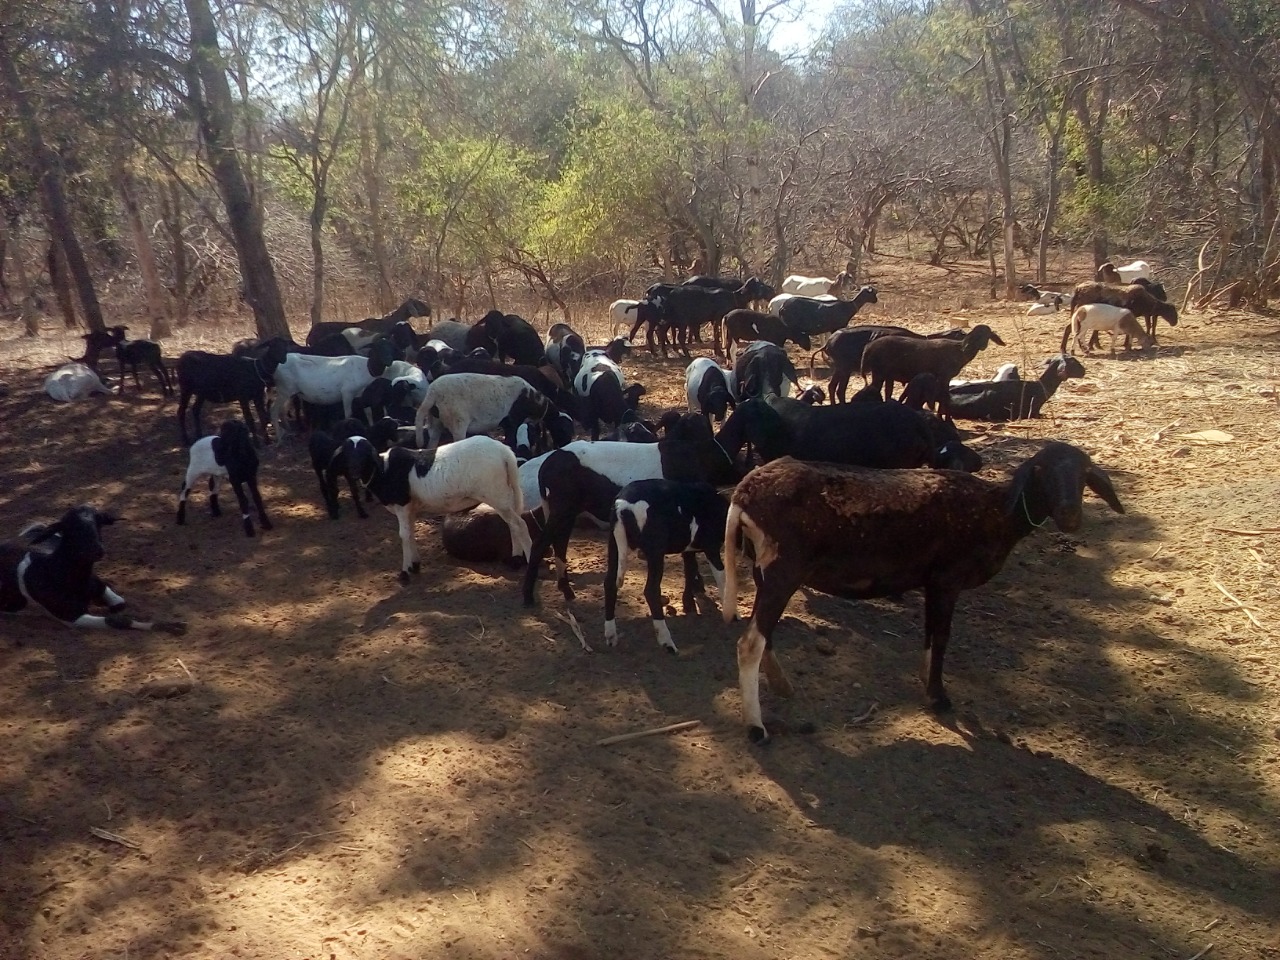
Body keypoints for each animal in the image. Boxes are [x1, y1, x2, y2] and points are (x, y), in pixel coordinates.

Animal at [0, 505, 185, 633]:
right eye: (70, 527)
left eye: (99, 522)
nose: (97, 550)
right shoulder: (71, 616)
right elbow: (116, 621)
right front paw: (174, 627)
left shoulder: (100, 588)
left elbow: (120, 604)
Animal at [345, 434, 532, 581]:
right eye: (349, 453)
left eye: (364, 454)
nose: (353, 471)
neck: (383, 471)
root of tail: (504, 452)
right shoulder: (411, 508)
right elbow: (411, 533)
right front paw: (415, 565)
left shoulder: (402, 505)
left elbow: (403, 535)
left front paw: (404, 572)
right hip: (505, 494)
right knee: (512, 525)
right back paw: (516, 559)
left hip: (495, 494)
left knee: (520, 525)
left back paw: (529, 559)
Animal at [603, 480, 730, 653]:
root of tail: (623, 506)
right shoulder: (711, 546)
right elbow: (721, 575)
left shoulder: (688, 549)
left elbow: (690, 571)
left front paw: (689, 604)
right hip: (655, 549)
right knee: (651, 590)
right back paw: (667, 642)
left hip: (614, 544)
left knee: (610, 583)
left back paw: (611, 636)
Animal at [722, 442, 1125, 741]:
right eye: (1041, 472)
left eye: (1084, 476)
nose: (1070, 515)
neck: (997, 513)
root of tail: (744, 493)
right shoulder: (947, 579)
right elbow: (943, 636)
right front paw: (938, 696)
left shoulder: (933, 583)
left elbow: (931, 634)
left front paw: (926, 680)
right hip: (783, 569)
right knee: (749, 643)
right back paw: (756, 727)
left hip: (764, 569)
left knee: (764, 634)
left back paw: (781, 684)